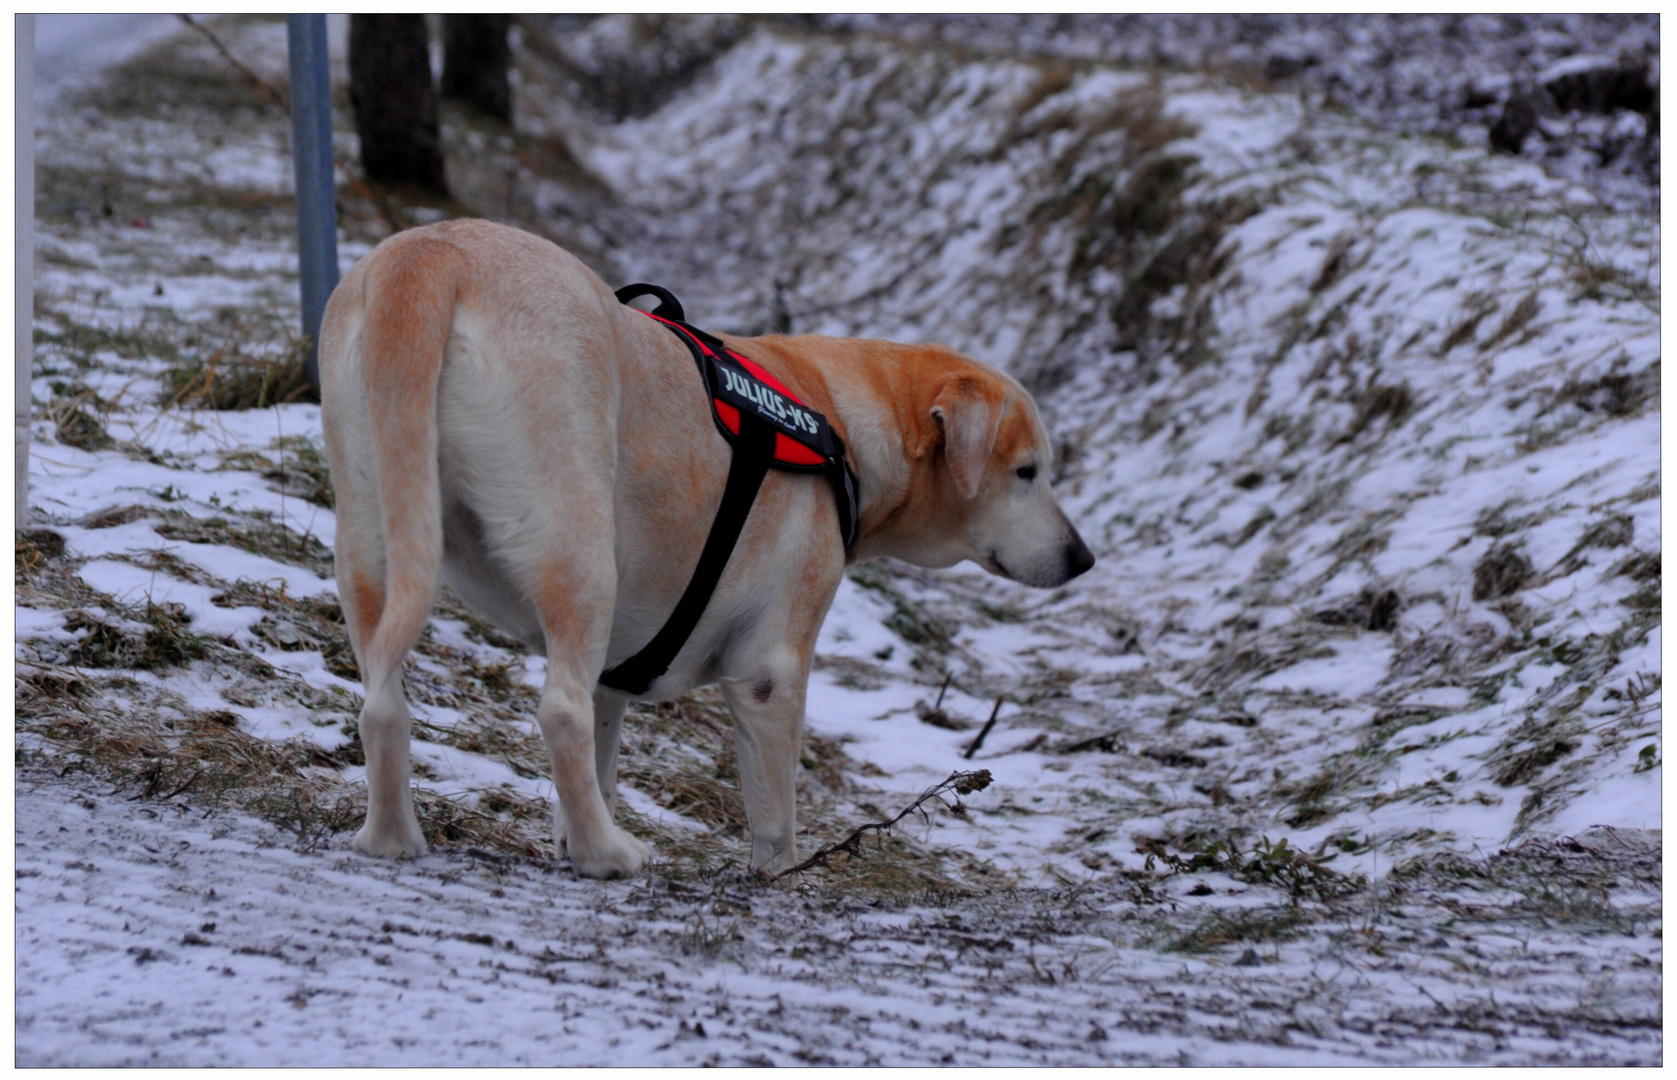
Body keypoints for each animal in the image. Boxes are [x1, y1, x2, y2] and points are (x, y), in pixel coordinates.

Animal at [318, 219, 1093, 878]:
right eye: (1028, 472)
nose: (1083, 559)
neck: (838, 416)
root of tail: (434, 253)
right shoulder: (770, 669)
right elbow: (774, 817)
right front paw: (783, 878)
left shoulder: (615, 670)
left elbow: (601, 752)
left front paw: (571, 834)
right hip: (579, 553)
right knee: (559, 712)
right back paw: (607, 855)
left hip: (372, 538)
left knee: (383, 706)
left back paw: (393, 837)